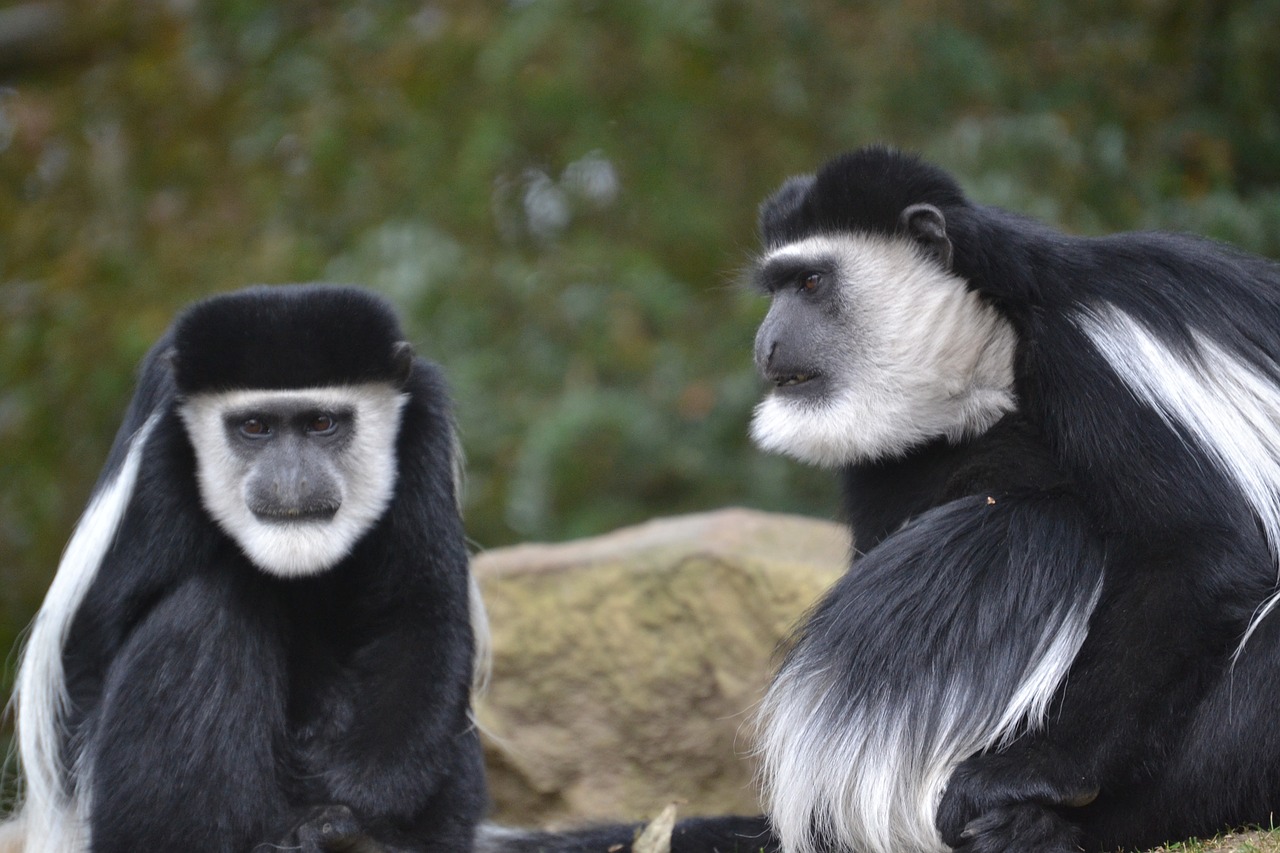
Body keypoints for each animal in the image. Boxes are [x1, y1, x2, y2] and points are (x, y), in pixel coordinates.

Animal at [6, 285, 483, 850]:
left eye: (321, 423)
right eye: (255, 426)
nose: (290, 480)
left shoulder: (423, 430)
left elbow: (417, 615)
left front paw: (360, 808)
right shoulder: (161, 453)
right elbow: (84, 665)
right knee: (207, 609)